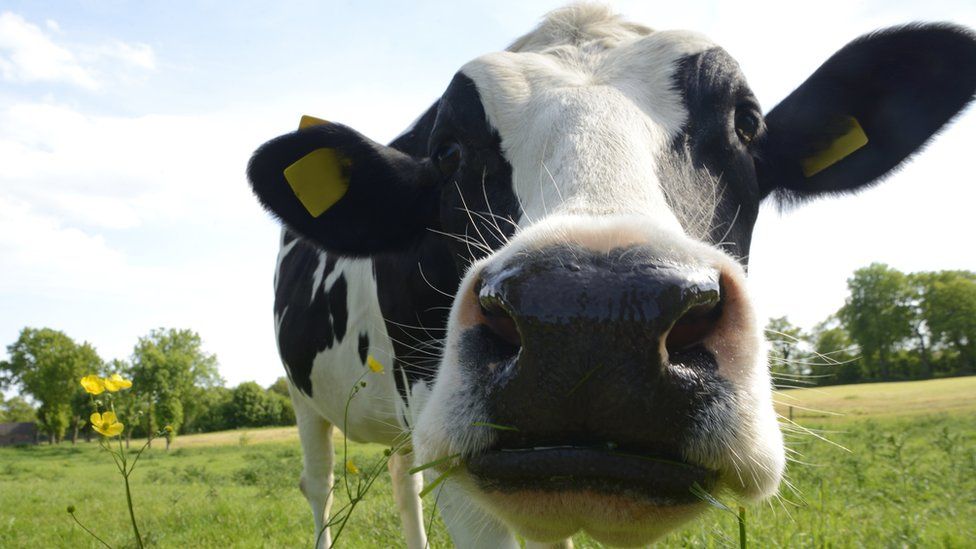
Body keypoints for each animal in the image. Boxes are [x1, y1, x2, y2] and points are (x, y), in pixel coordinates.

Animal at [248, 5, 976, 548]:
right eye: (447, 150)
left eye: (746, 123)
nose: (591, 315)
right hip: (304, 397)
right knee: (322, 486)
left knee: (402, 483)